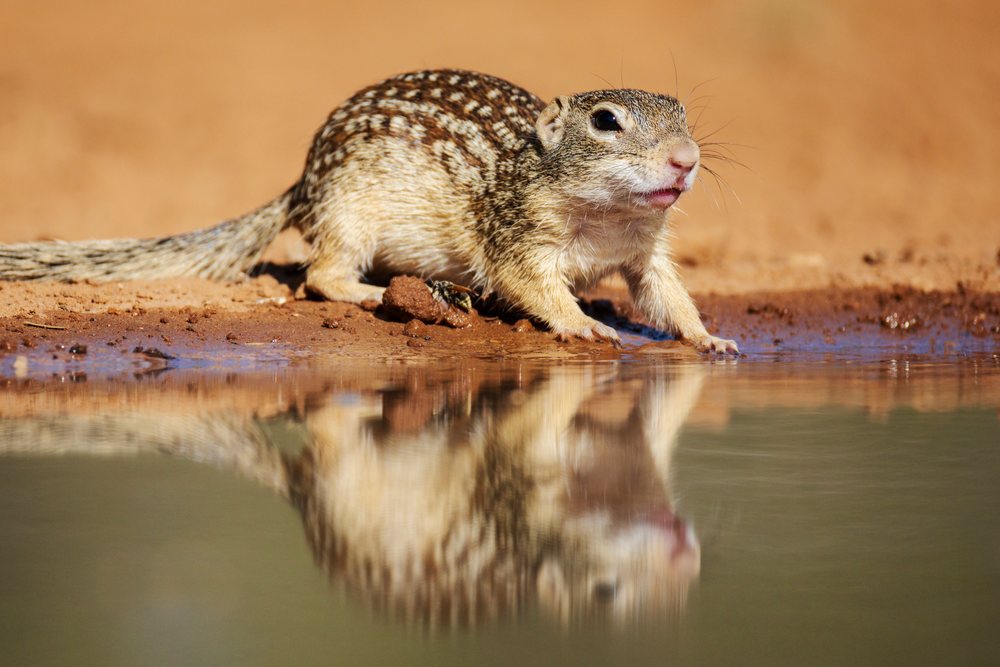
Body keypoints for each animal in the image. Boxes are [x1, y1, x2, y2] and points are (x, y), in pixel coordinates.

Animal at [0, 69, 738, 353]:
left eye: (679, 112)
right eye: (607, 121)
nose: (687, 157)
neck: (607, 219)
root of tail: (302, 183)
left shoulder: (645, 255)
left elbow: (668, 294)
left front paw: (710, 338)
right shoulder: (518, 240)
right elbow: (534, 287)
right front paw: (584, 323)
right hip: (349, 218)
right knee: (318, 276)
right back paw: (378, 291)